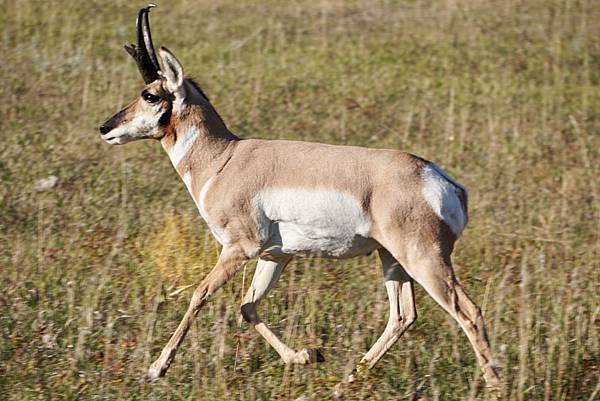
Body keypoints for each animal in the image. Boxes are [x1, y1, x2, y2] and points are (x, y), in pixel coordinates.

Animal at [99, 4, 502, 390]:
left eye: (150, 94)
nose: (105, 128)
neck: (225, 158)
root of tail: (442, 180)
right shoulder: (275, 255)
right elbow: (248, 306)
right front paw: (309, 355)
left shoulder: (238, 249)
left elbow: (200, 294)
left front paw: (156, 369)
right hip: (392, 259)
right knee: (402, 315)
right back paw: (349, 379)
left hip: (424, 260)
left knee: (468, 311)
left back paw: (495, 384)